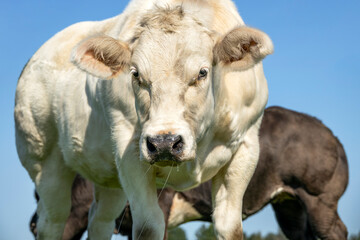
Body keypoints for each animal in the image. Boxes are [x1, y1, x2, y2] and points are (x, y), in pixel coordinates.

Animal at [14, 0, 272, 239]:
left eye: (202, 72)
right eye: (136, 74)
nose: (165, 143)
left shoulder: (246, 147)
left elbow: (229, 226)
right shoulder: (127, 150)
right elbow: (149, 225)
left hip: (108, 180)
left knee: (100, 219)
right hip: (45, 162)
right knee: (52, 221)